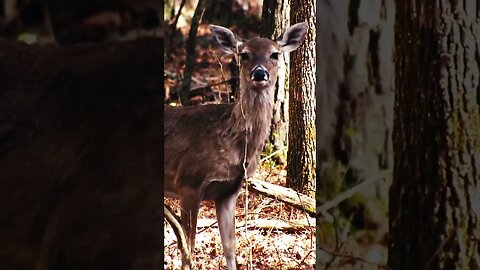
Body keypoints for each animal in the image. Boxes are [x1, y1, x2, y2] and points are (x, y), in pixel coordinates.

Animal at [164, 22, 308, 268]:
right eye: (244, 54)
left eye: (275, 54)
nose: (259, 73)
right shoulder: (188, 183)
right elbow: (187, 250)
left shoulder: (229, 191)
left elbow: (230, 249)